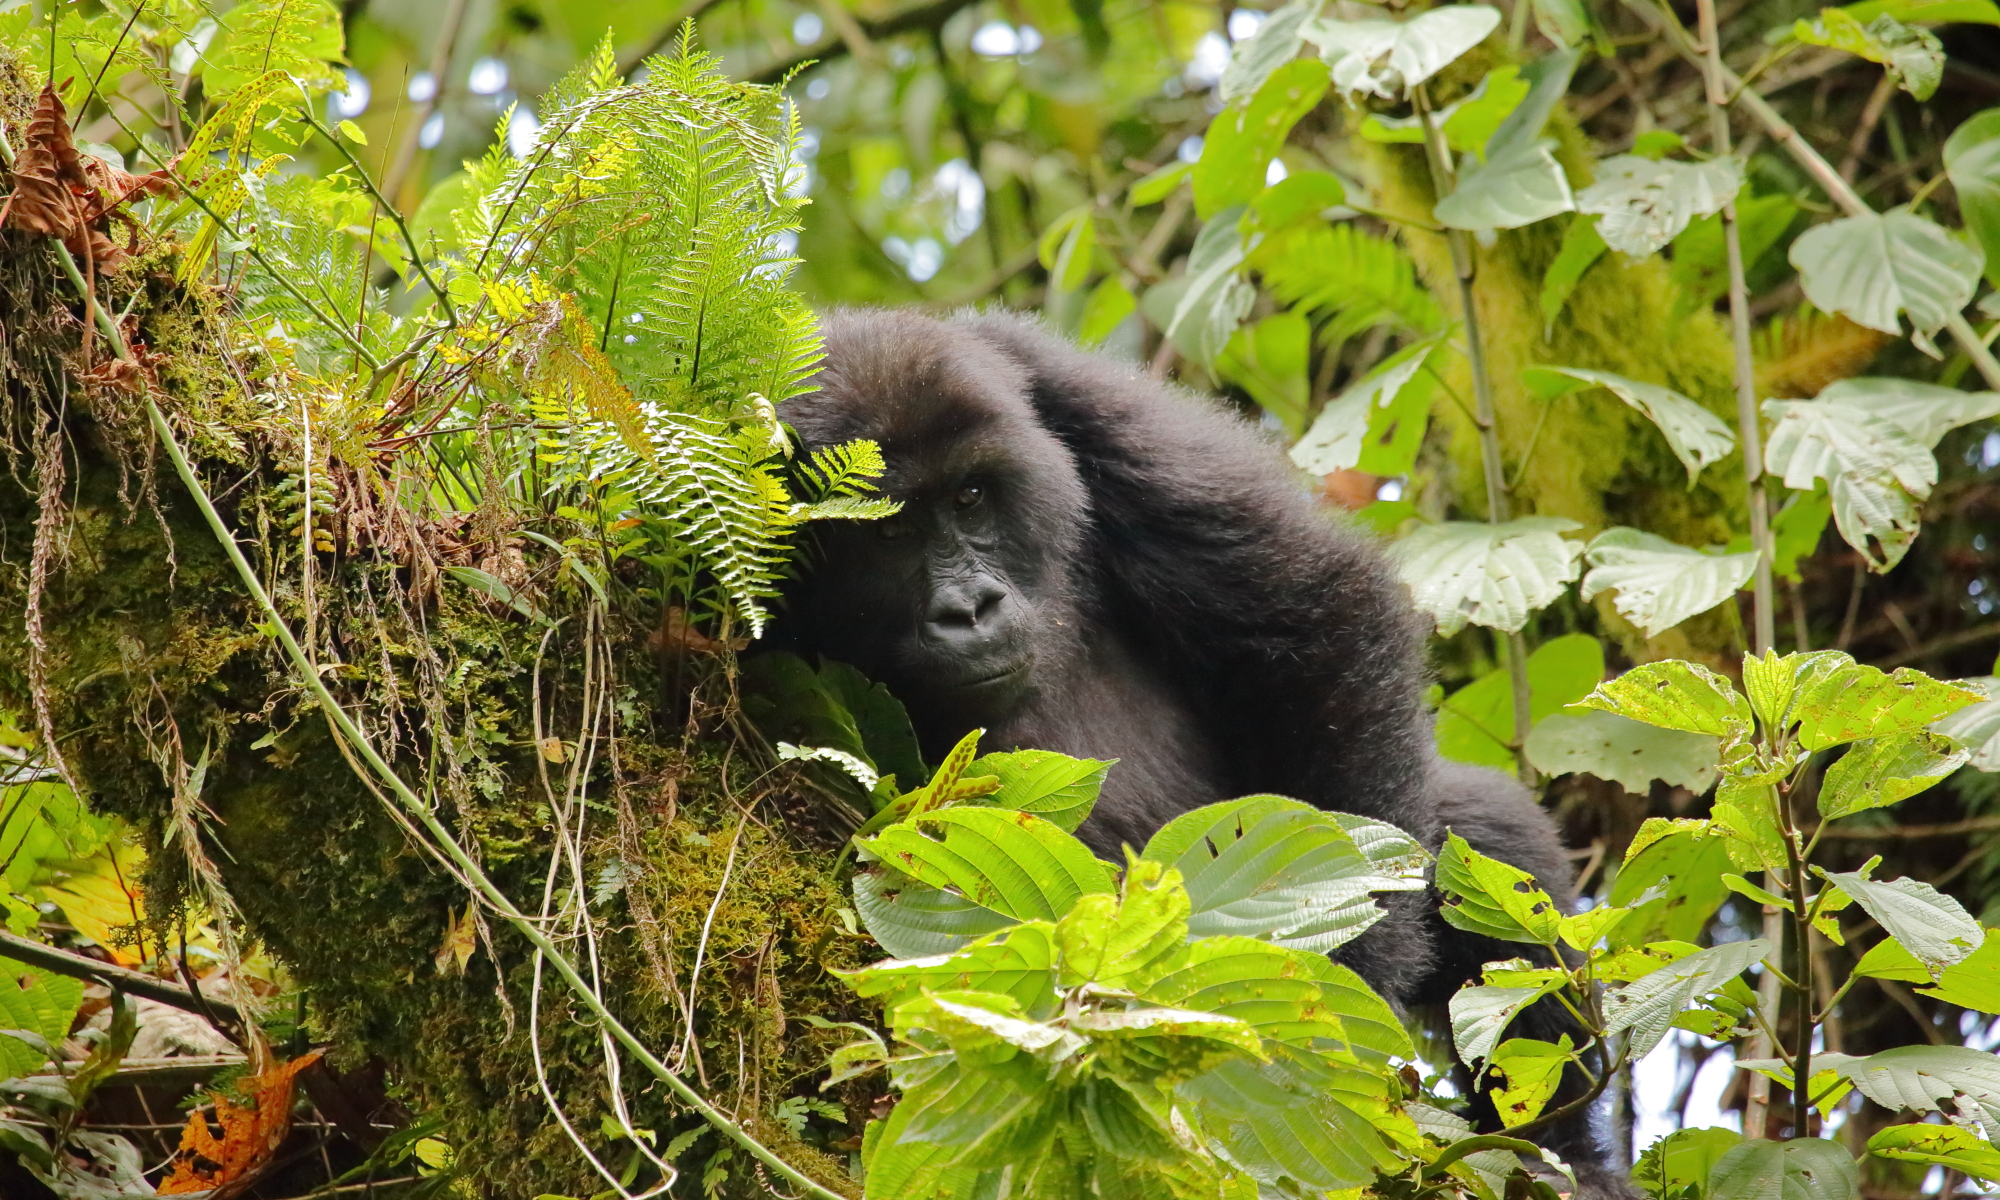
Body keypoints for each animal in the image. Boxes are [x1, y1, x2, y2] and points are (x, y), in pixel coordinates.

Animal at [772, 308, 1632, 1192]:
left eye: (970, 497)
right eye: (892, 532)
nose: (970, 607)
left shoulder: (1075, 391)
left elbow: (1317, 614)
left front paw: (1350, 990)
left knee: (1480, 831)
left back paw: (1563, 1153)